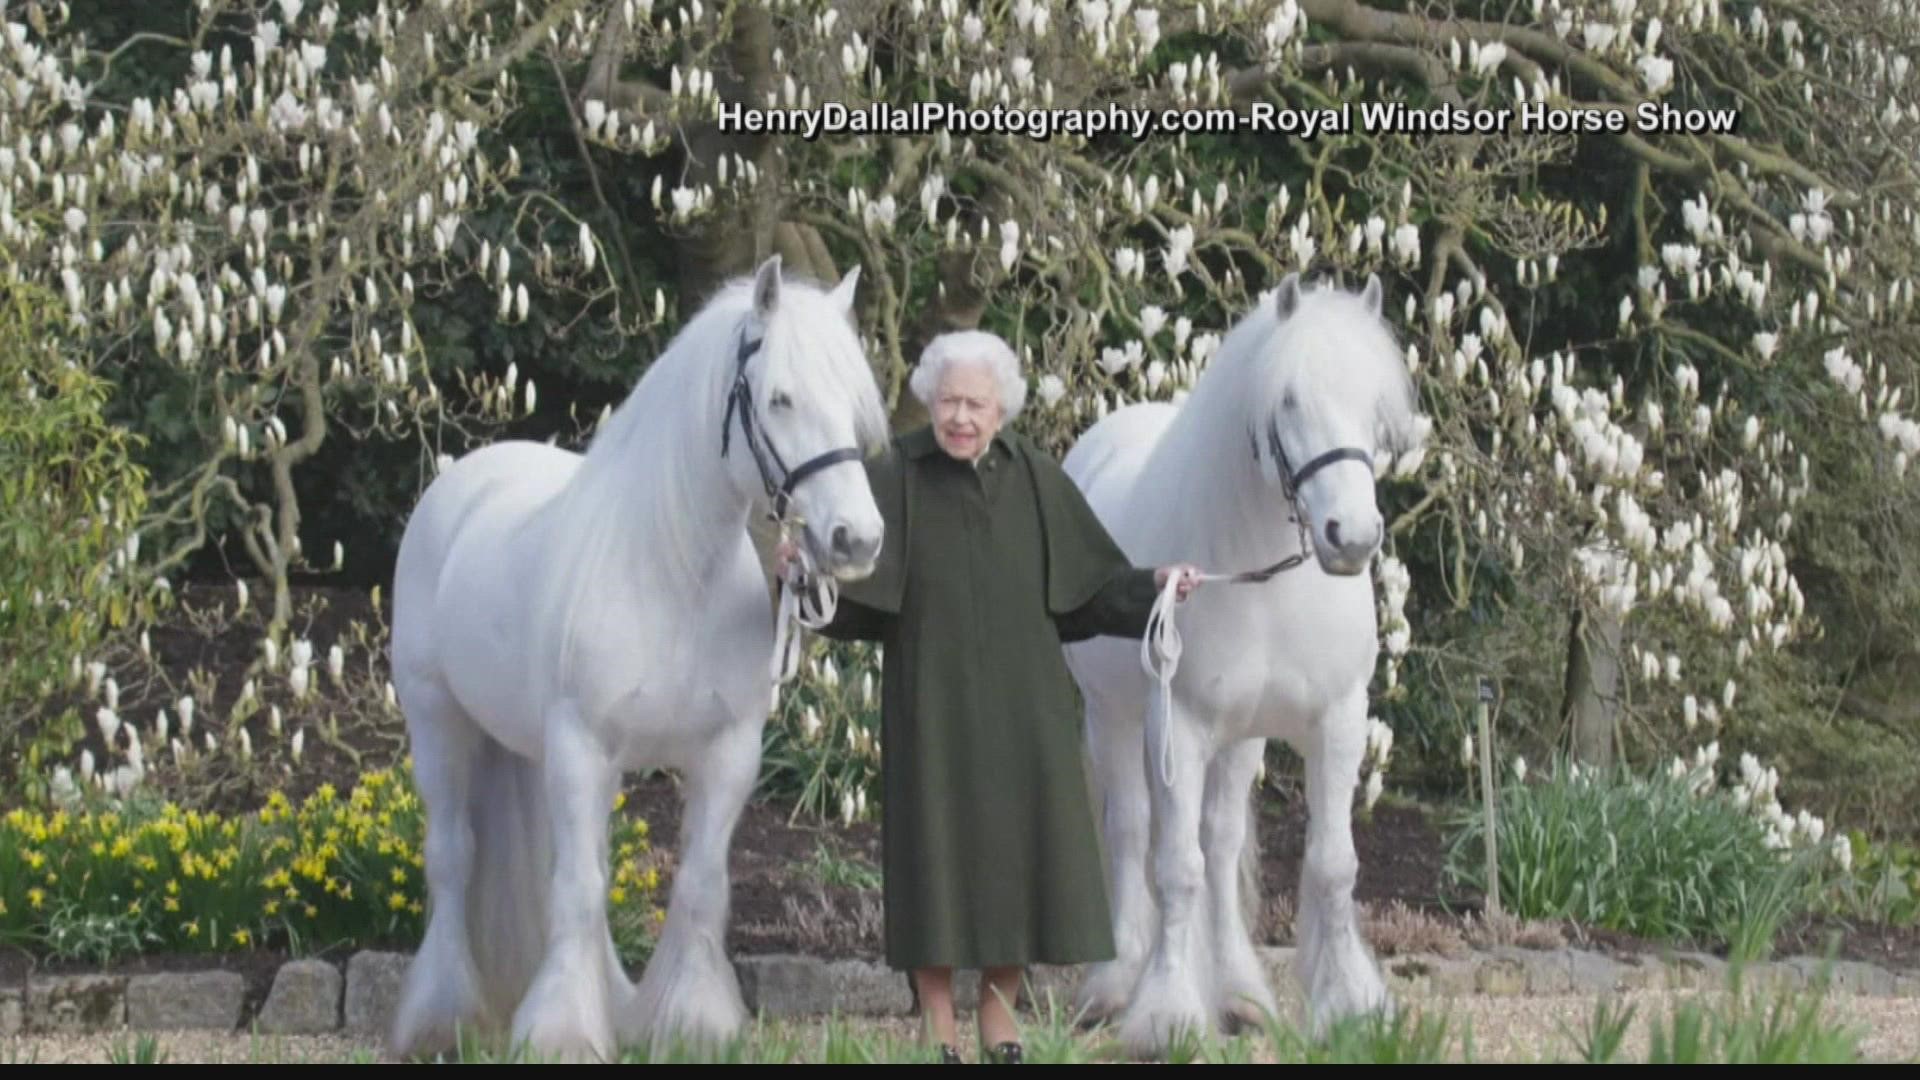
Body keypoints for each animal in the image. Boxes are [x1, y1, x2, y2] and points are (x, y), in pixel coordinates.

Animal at [391, 253, 898, 1060]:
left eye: (853, 404)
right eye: (781, 398)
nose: (857, 539)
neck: (671, 575)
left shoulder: (727, 754)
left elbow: (696, 885)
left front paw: (691, 1021)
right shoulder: (582, 747)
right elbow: (579, 888)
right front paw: (562, 1033)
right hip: (439, 725)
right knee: (452, 857)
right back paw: (444, 1017)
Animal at [1067, 270, 1428, 1053]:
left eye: (1374, 406)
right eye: (1288, 400)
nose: (1353, 536)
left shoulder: (1338, 723)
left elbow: (1330, 865)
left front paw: (1350, 1005)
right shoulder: (1177, 728)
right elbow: (1176, 869)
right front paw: (1167, 1014)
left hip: (1241, 740)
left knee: (1222, 836)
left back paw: (1238, 994)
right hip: (1113, 719)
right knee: (1132, 831)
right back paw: (1116, 983)